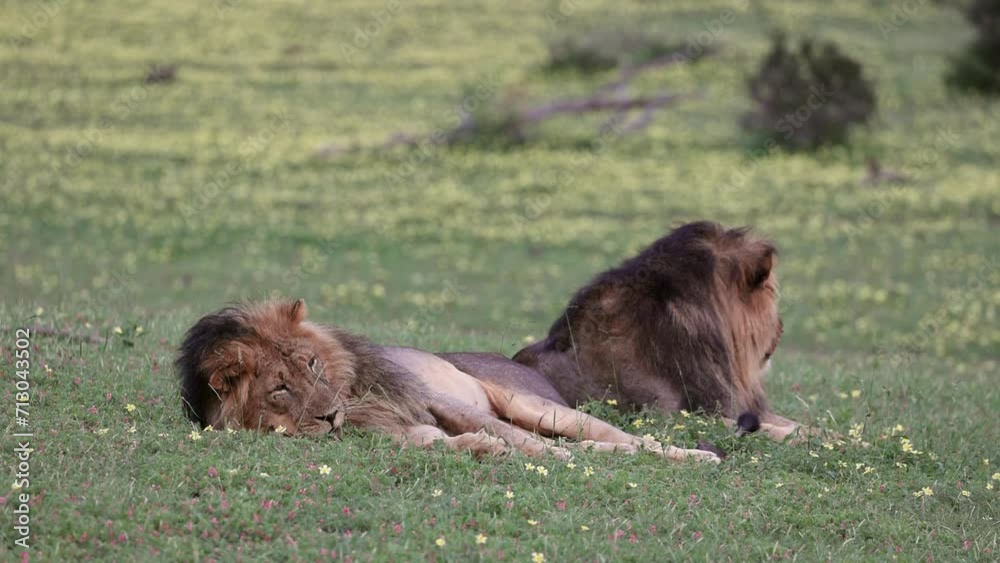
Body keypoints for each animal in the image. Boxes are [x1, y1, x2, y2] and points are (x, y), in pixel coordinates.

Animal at [176, 299, 721, 463]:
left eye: (311, 365)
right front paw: (484, 449)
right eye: (279, 389)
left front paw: (546, 458)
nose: (330, 414)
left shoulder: (437, 400)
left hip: (535, 404)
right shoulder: (383, 432)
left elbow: (515, 437)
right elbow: (437, 442)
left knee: (623, 437)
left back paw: (695, 457)